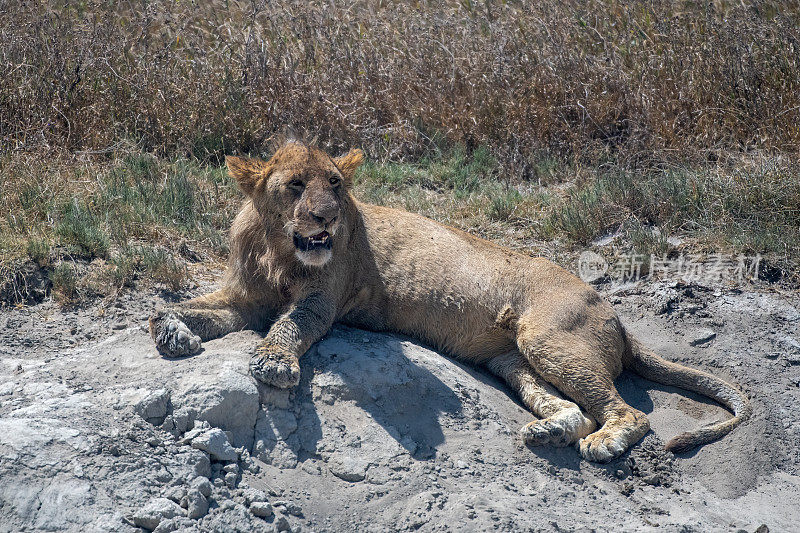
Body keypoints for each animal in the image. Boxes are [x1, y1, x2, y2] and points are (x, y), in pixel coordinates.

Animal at [148, 141, 752, 462]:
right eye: (296, 184)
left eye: (337, 184)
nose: (328, 217)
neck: (277, 247)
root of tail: (619, 318)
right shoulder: (243, 297)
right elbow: (190, 307)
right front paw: (172, 330)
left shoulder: (322, 301)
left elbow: (289, 326)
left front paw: (273, 363)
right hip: (514, 360)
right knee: (572, 407)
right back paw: (549, 430)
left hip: (549, 335)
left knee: (628, 412)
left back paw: (605, 442)